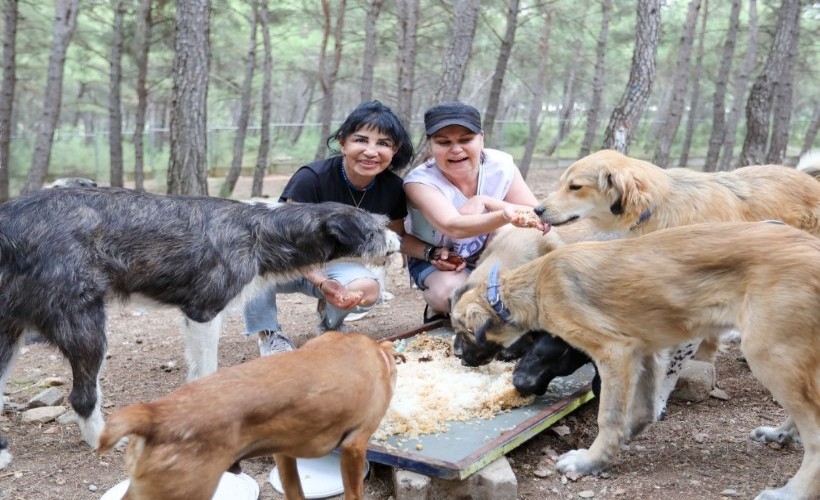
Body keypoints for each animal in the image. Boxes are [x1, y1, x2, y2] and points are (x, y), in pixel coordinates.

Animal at [0, 187, 398, 464]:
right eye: (376, 229)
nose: (397, 239)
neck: (261, 229)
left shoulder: (195, 317)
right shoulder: (204, 311)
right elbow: (208, 368)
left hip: (10, 336)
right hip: (86, 327)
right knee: (82, 397)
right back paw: (102, 438)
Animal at [452, 223, 820, 500]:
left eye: (462, 331)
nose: (457, 356)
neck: (535, 284)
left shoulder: (614, 352)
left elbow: (609, 416)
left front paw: (590, 461)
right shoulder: (645, 351)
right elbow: (642, 409)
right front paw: (620, 443)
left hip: (767, 352)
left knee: (814, 433)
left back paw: (791, 492)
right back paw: (780, 433)